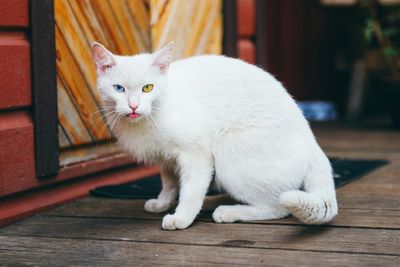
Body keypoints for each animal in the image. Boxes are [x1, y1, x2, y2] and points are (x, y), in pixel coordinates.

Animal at [91, 42, 338, 230]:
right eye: (119, 89)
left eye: (147, 88)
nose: (133, 106)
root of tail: (314, 146)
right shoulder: (167, 160)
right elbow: (169, 185)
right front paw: (162, 203)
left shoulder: (196, 155)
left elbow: (190, 192)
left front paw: (180, 219)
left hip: (228, 153)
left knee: (278, 207)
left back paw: (228, 212)